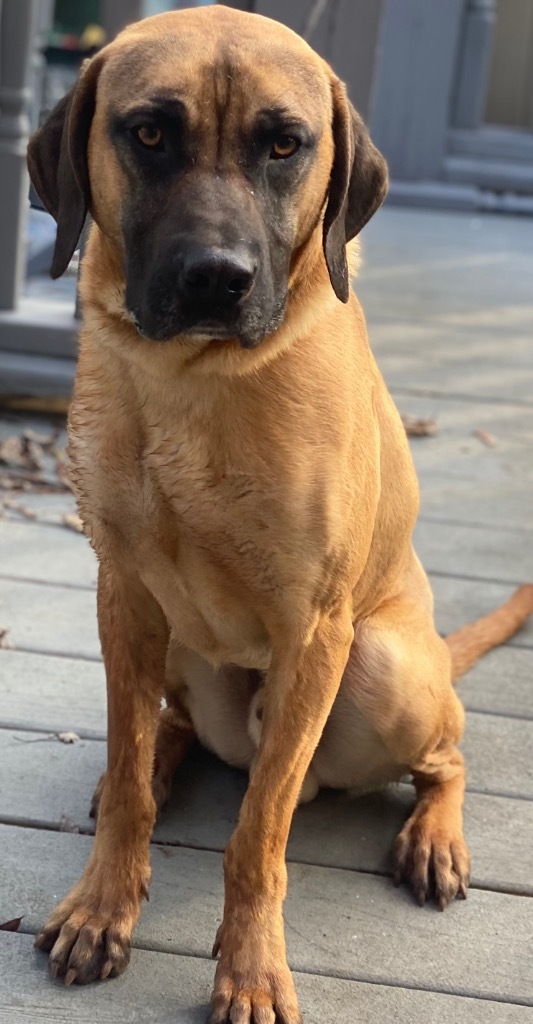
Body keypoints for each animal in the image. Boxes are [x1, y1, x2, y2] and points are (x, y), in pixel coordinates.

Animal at [28, 8, 531, 1024]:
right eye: (148, 133)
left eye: (285, 145)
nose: (214, 277)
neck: (193, 381)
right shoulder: (123, 595)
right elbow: (132, 771)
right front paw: (104, 903)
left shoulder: (315, 630)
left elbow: (257, 834)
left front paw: (253, 966)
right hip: (170, 643)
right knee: (166, 733)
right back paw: (153, 763)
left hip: (383, 673)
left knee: (441, 756)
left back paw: (434, 835)